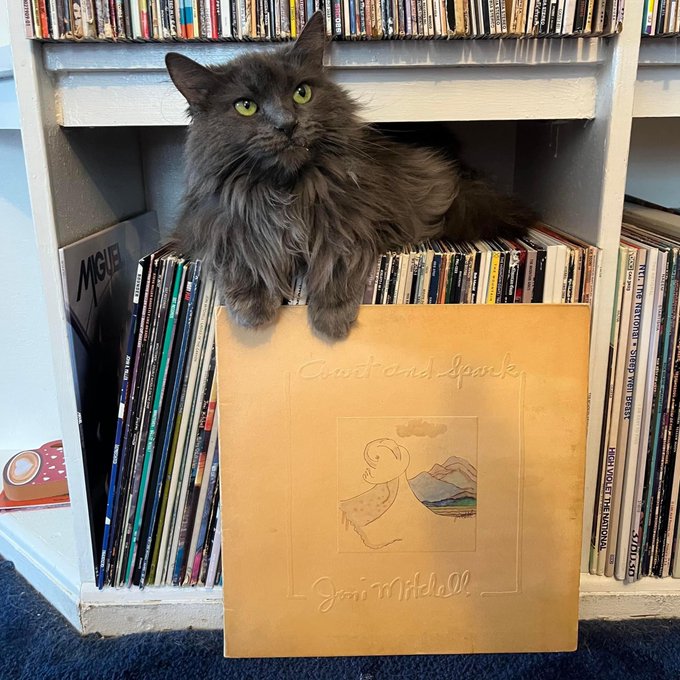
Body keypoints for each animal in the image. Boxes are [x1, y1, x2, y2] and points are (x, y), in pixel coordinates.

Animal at [165, 12, 535, 340]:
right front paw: (254, 310)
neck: (288, 191)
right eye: (246, 106)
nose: (287, 124)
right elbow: (241, 252)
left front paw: (331, 317)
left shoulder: (359, 218)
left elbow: (337, 256)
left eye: (302, 92)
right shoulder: (210, 224)